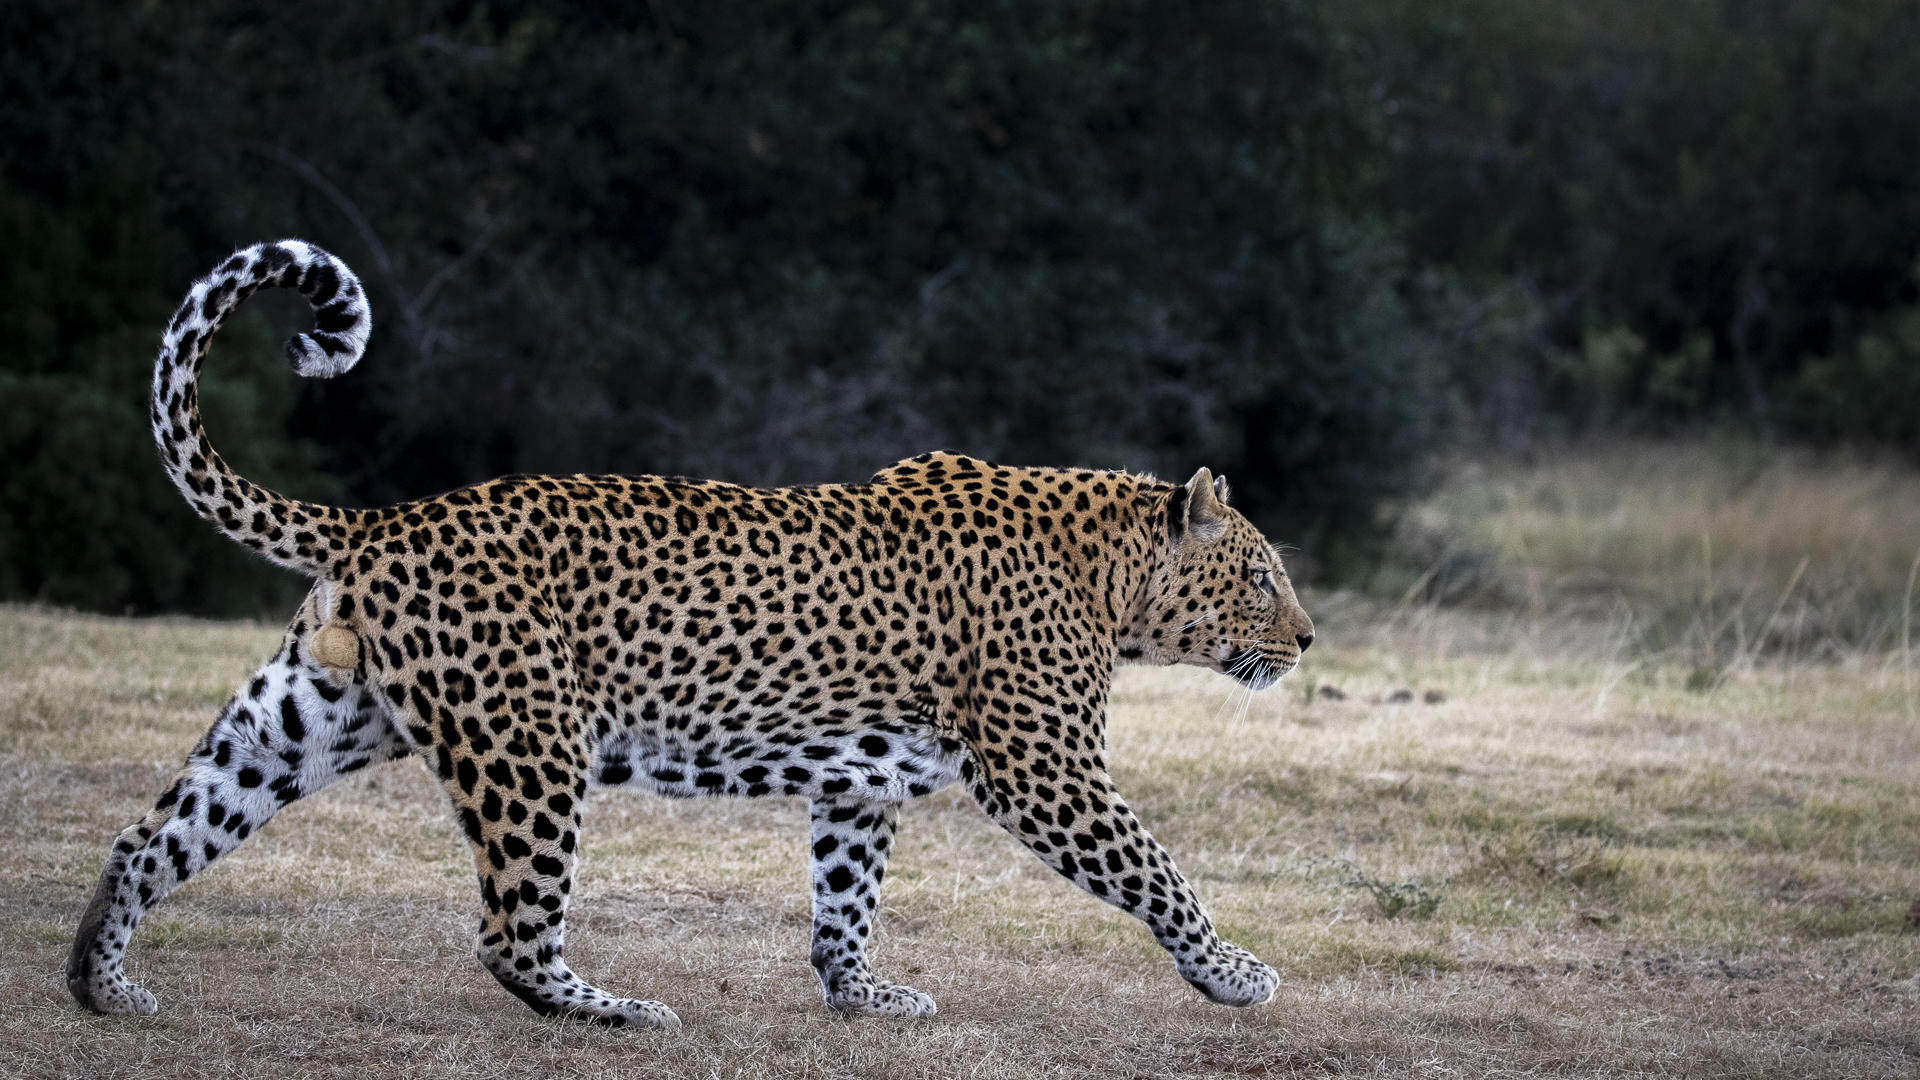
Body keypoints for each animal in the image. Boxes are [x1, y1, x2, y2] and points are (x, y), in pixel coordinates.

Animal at [67, 239, 1315, 1028]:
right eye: (1262, 577)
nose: (1307, 642)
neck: (1114, 578)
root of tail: (383, 517)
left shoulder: (862, 775)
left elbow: (844, 895)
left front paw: (861, 995)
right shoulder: (1043, 768)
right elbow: (1157, 872)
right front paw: (1235, 975)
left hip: (308, 718)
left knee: (152, 833)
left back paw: (101, 985)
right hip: (531, 744)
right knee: (510, 931)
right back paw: (616, 1011)